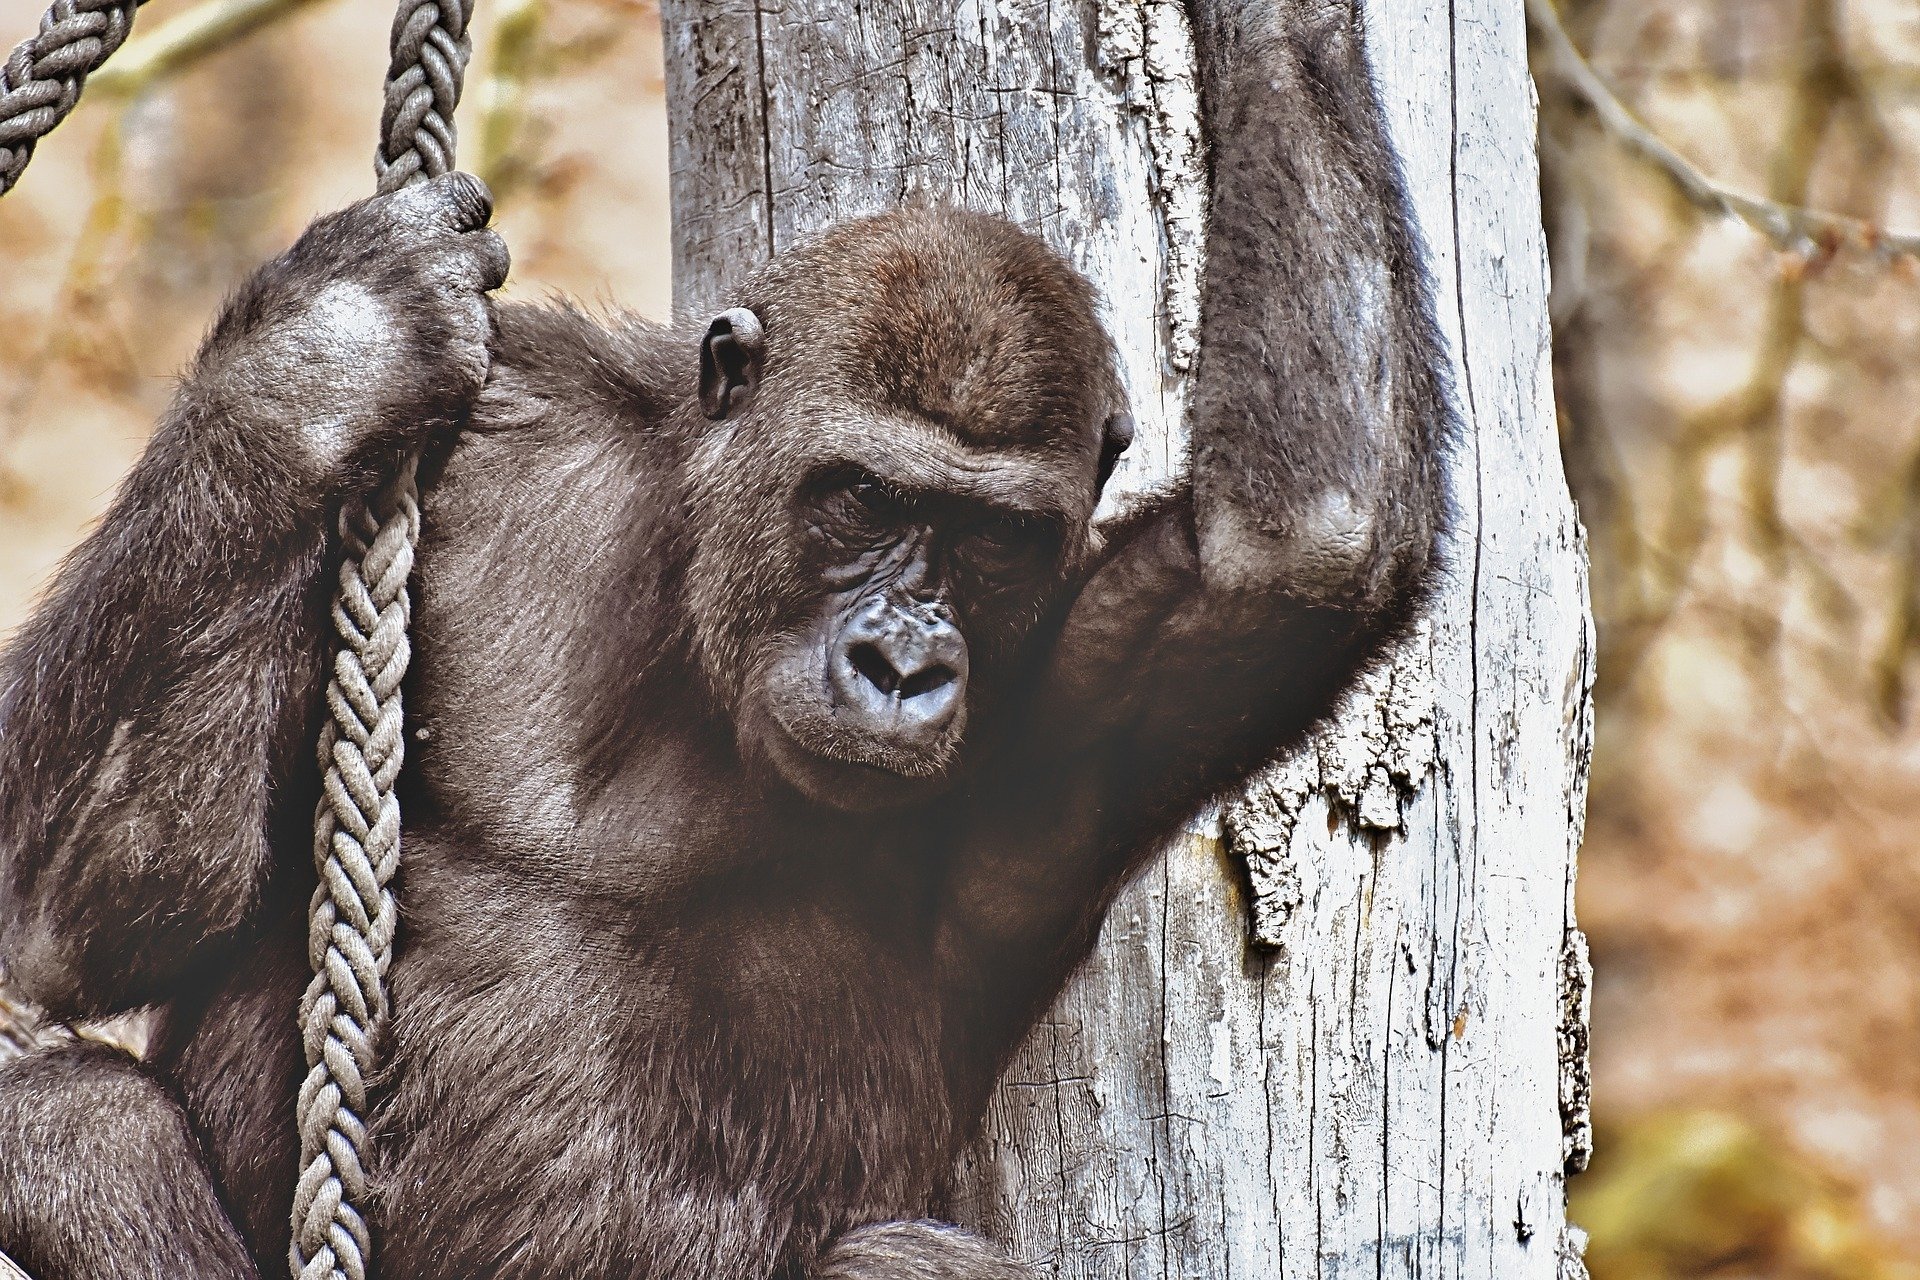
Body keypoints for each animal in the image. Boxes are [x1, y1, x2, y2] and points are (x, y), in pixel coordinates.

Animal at [0, 0, 1443, 1274]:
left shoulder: (1083, 690)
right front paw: (319, 364)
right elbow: (82, 914)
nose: (902, 663)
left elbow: (1295, 545)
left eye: (992, 540)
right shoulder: (490, 433)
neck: (691, 621)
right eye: (863, 498)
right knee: (65, 1118)